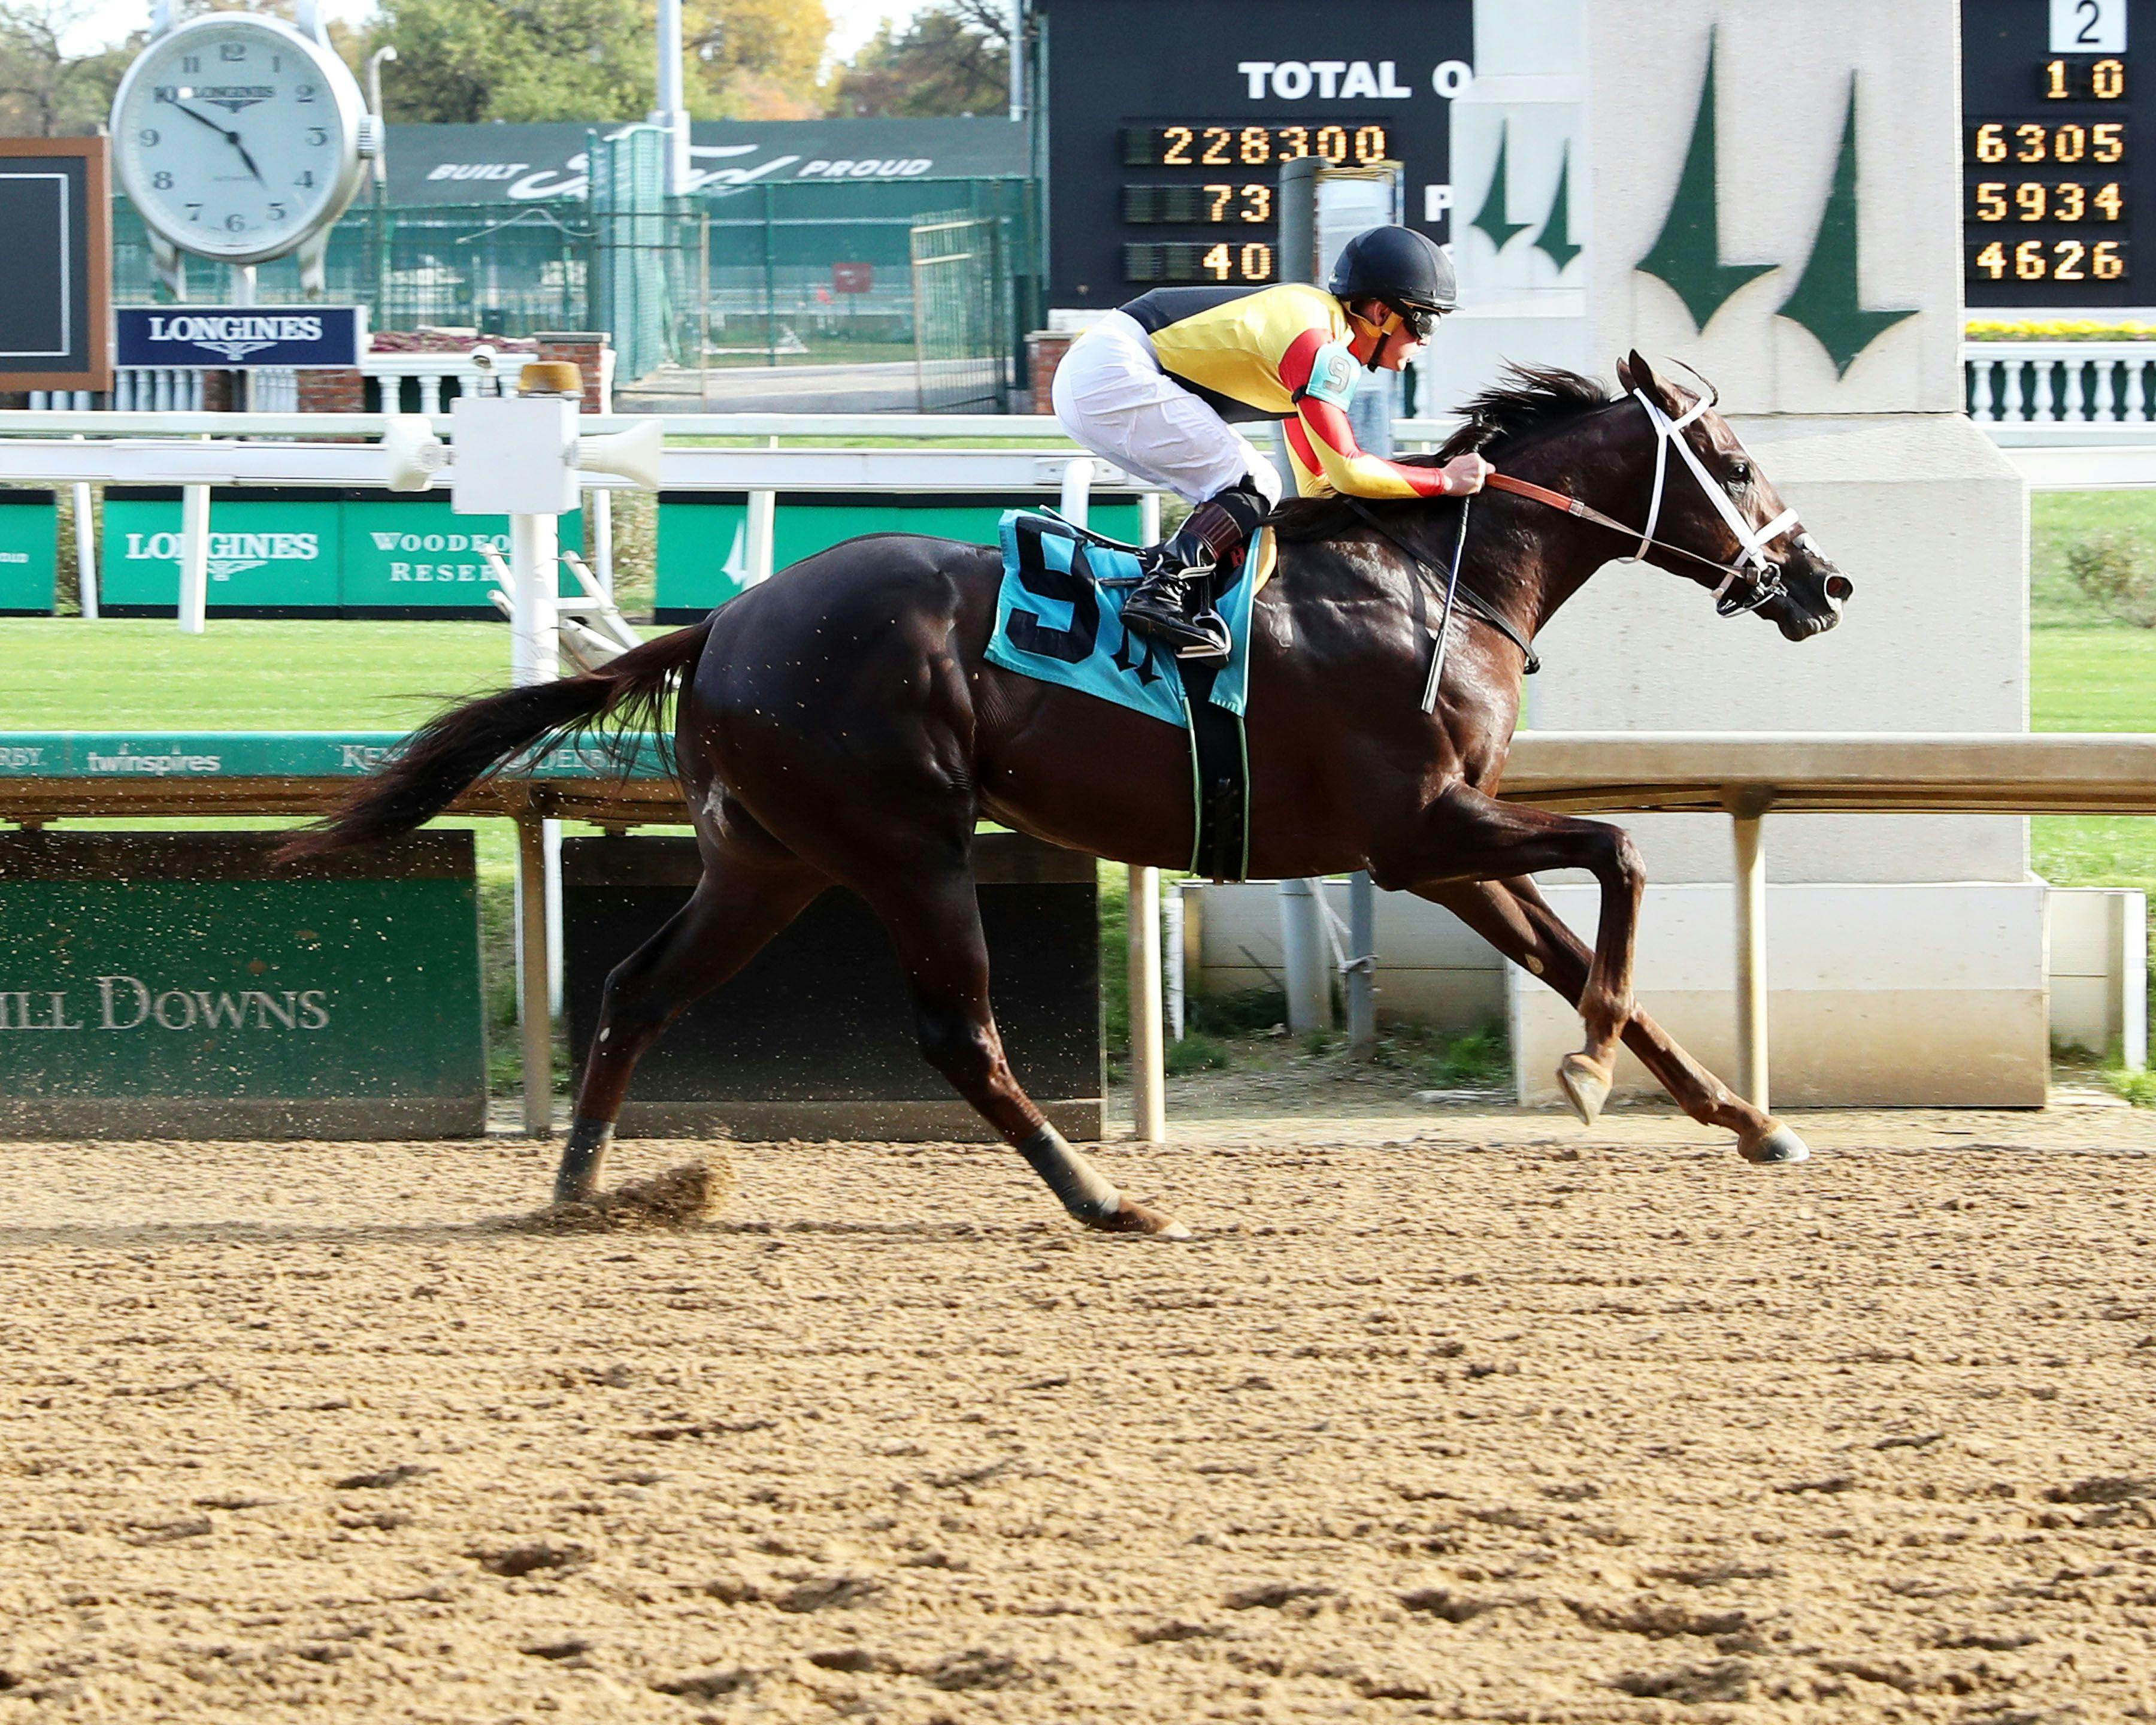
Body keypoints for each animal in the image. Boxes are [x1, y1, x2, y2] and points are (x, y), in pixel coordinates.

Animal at [291, 353, 1854, 1242]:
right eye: (1731, 460)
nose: (1825, 581)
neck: (1437, 584)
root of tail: (726, 623)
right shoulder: (1416, 833)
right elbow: (1625, 861)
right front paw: (1587, 1072)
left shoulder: (1442, 846)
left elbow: (1587, 953)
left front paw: (1745, 1117)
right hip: (908, 844)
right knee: (956, 1034)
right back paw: (1104, 1199)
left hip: (771, 860)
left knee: (636, 988)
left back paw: (580, 1189)